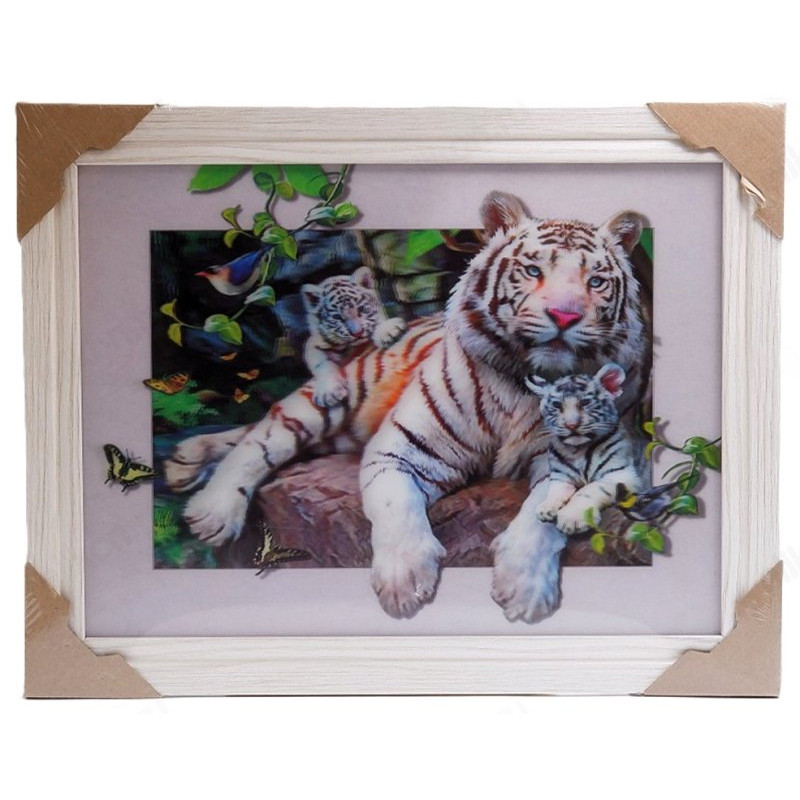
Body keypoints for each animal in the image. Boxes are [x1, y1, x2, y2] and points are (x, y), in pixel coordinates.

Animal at [301, 265, 406, 407]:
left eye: (361, 309)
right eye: (337, 317)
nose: (357, 333)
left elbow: (378, 321)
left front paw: (388, 330)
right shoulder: (313, 345)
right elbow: (321, 365)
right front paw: (329, 392)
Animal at [524, 363, 643, 534]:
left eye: (585, 402)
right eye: (557, 405)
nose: (571, 425)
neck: (577, 450)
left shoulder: (621, 475)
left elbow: (588, 490)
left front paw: (572, 519)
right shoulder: (561, 476)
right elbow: (555, 489)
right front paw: (546, 507)